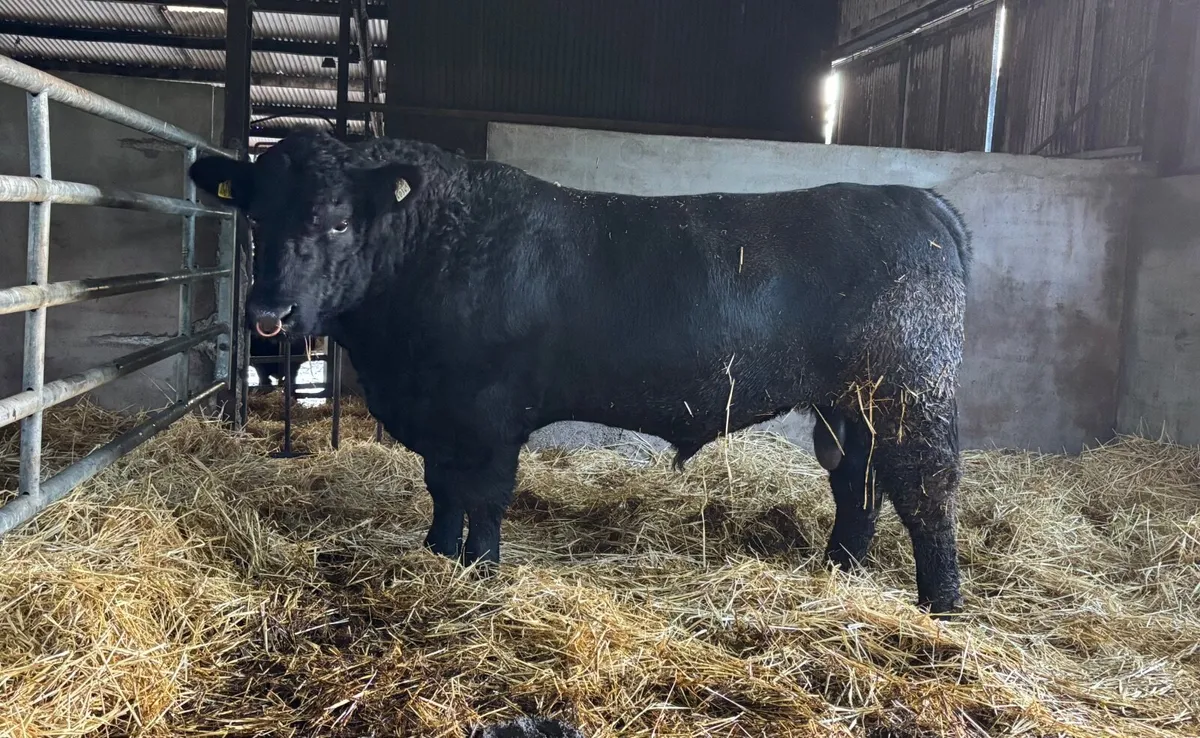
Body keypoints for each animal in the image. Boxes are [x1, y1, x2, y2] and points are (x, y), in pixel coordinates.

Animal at [189, 131, 971, 614]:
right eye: (255, 215)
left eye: (339, 220)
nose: (270, 310)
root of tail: (919, 200)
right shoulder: (440, 415)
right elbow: (442, 488)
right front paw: (436, 555)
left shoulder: (488, 413)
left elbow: (483, 497)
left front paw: (478, 570)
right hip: (849, 403)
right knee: (858, 484)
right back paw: (840, 572)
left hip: (911, 394)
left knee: (925, 491)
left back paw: (940, 605)